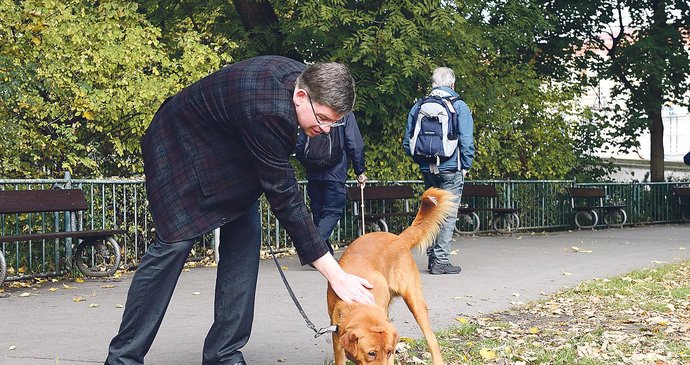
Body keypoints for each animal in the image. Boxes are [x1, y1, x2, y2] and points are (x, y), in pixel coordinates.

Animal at [326, 186, 454, 362]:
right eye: (371, 353)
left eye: (387, 351)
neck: (357, 301)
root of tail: (398, 238)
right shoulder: (337, 339)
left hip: (415, 302)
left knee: (431, 339)